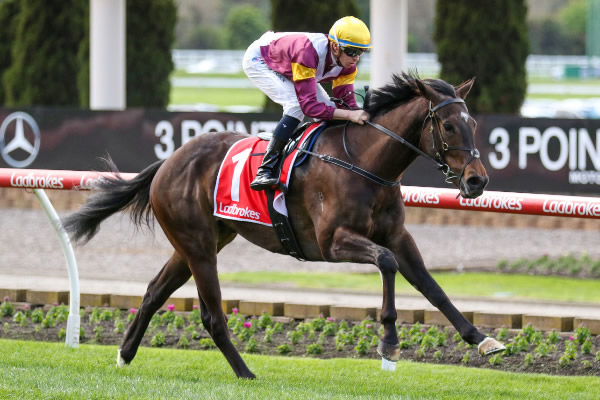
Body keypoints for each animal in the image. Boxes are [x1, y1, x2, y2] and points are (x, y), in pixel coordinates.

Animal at [63, 72, 506, 378]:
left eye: (474, 125)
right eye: (448, 126)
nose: (477, 181)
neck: (365, 163)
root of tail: (168, 160)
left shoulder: (398, 236)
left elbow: (432, 287)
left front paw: (483, 340)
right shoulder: (331, 243)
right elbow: (386, 262)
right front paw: (390, 341)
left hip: (198, 242)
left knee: (154, 292)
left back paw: (125, 354)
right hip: (198, 246)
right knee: (211, 315)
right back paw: (245, 372)